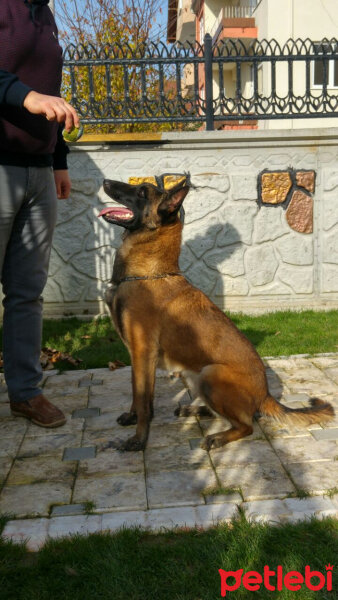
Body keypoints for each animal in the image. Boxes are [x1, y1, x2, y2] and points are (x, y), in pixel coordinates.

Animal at [99, 176, 334, 452]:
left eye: (142, 192)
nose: (105, 181)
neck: (148, 273)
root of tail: (265, 394)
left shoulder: (142, 352)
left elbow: (144, 399)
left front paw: (138, 440)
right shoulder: (136, 356)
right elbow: (138, 394)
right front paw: (132, 417)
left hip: (211, 374)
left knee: (246, 425)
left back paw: (217, 436)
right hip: (191, 374)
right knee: (224, 415)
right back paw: (194, 410)